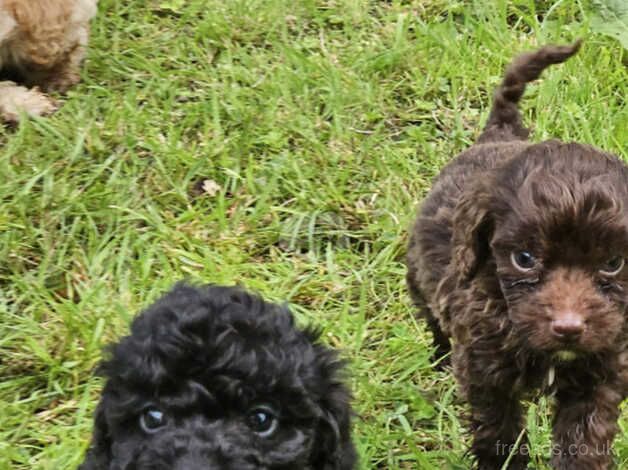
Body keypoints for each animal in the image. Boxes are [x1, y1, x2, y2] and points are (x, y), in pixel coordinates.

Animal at [404, 41, 628, 470]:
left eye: (613, 263)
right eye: (524, 259)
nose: (569, 328)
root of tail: (498, 133)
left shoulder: (602, 373)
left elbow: (585, 437)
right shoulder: (483, 372)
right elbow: (499, 432)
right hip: (417, 275)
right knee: (430, 316)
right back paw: (438, 357)